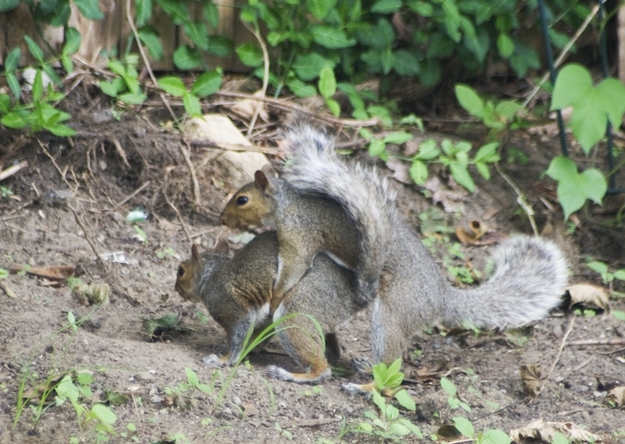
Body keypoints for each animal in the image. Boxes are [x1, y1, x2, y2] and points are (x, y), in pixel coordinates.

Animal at [212, 122, 568, 392]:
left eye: (242, 199)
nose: (221, 218)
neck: (287, 205)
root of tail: (441, 297)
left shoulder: (300, 237)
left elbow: (292, 270)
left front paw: (274, 297)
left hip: (395, 311)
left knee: (392, 371)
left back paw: (362, 386)